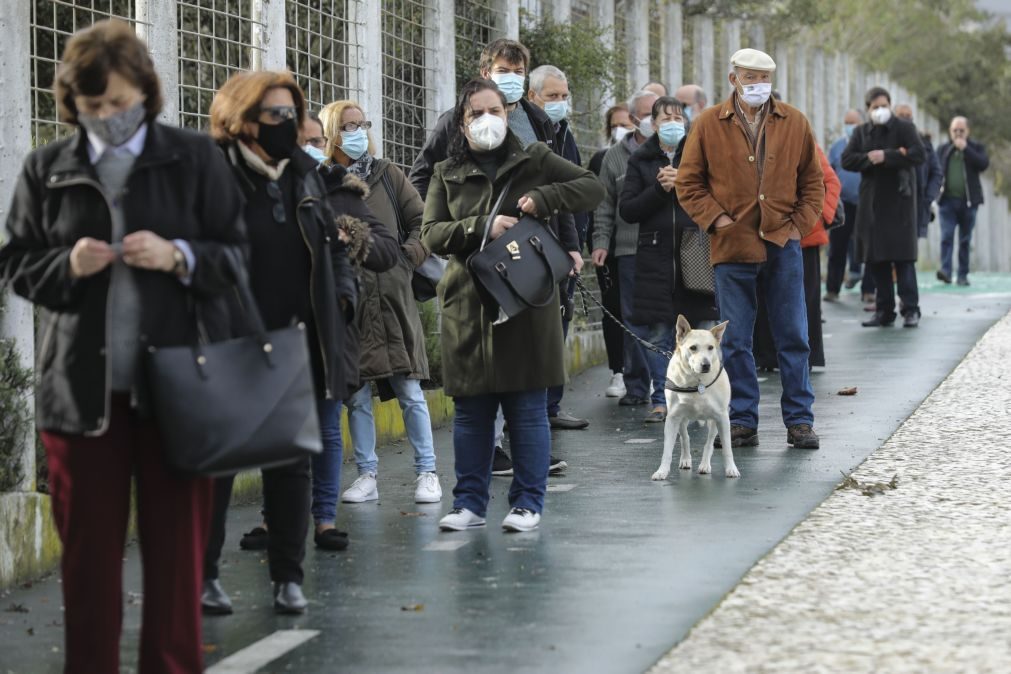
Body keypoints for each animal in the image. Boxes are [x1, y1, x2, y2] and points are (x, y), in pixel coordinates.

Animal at [651, 315, 740, 478]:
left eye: (710, 347)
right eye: (693, 348)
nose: (706, 365)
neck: (696, 381)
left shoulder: (722, 417)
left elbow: (727, 448)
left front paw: (731, 468)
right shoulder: (673, 417)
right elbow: (667, 450)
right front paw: (662, 471)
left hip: (715, 421)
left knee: (709, 442)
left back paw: (705, 465)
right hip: (682, 419)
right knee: (685, 438)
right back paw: (686, 459)